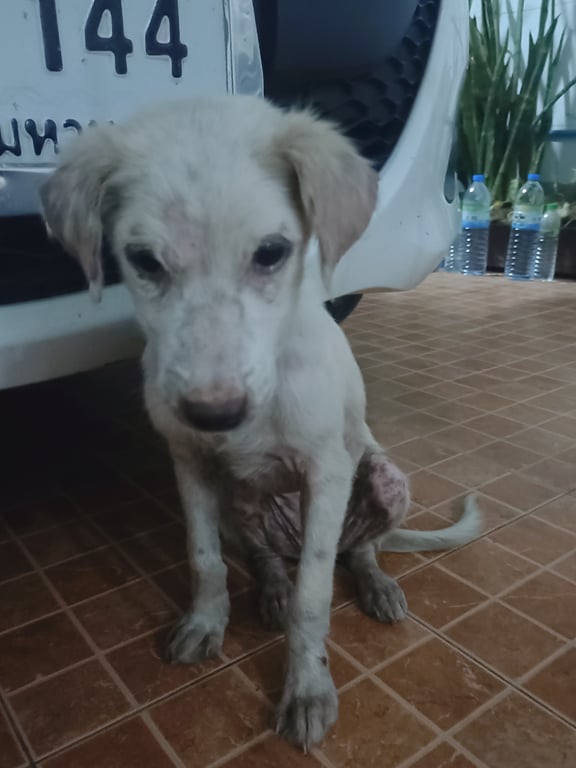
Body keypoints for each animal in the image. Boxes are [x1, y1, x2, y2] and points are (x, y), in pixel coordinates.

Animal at [41, 95, 480, 749]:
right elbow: (204, 559)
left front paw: (307, 689)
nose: (215, 413)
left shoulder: (327, 471)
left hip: (383, 479)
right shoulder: (190, 463)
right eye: (143, 260)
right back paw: (271, 589)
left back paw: (375, 584)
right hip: (240, 500)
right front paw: (206, 622)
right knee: (264, 556)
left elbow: (314, 599)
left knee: (359, 549)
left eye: (272, 252)